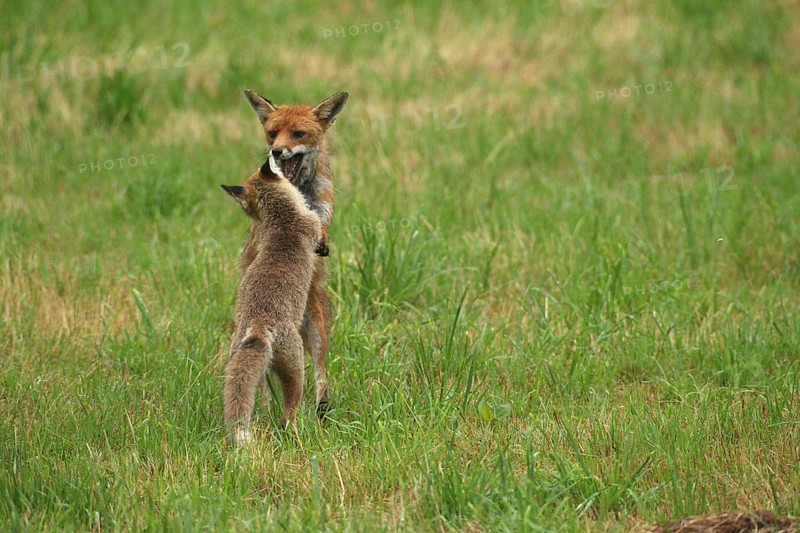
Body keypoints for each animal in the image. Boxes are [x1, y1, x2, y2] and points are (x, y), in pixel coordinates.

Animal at [221, 168, 321, 444]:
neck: (284, 222)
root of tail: (258, 325)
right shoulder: (313, 225)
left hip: (247, 366)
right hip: (296, 370)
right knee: (288, 415)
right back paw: (297, 435)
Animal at [243, 89, 348, 416]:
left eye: (298, 133)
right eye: (272, 133)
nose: (276, 152)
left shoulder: (322, 211)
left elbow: (320, 226)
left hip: (317, 328)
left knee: (319, 373)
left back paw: (321, 409)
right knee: (265, 383)